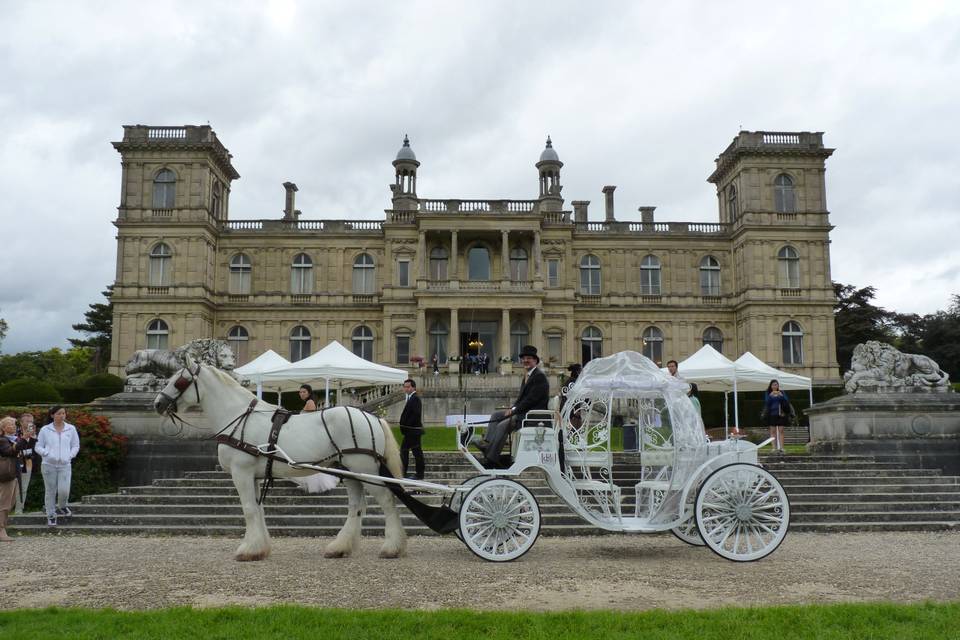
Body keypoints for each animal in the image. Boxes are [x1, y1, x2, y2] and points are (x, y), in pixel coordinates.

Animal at [152, 358, 406, 564]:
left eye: (179, 381)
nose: (157, 404)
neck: (239, 417)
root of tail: (372, 417)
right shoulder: (253, 476)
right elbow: (258, 509)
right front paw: (259, 548)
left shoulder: (241, 472)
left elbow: (248, 509)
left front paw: (247, 550)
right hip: (349, 472)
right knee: (356, 507)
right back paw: (340, 547)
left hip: (364, 469)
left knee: (387, 501)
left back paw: (392, 548)